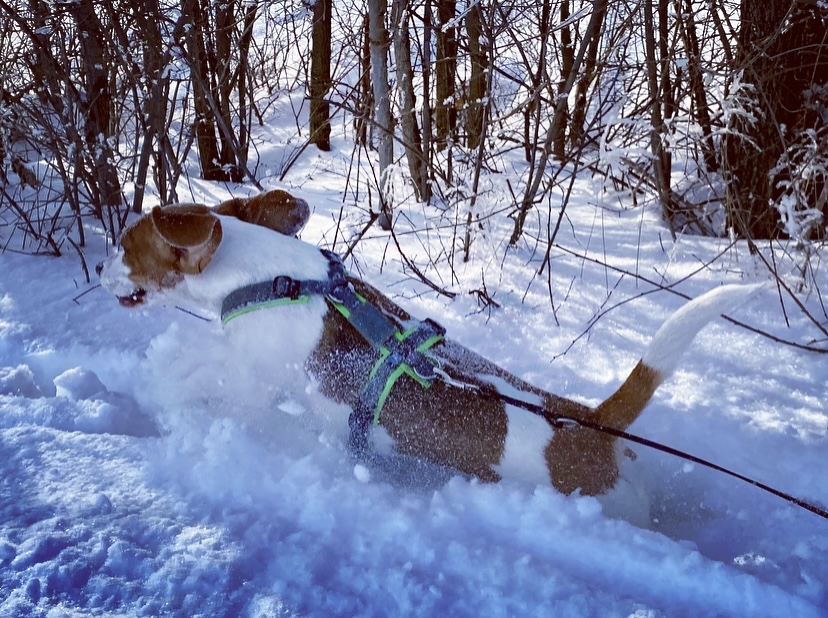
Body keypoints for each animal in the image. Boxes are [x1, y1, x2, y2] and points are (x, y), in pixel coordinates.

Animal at [98, 188, 764, 510]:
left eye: (127, 246)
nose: (100, 268)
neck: (269, 276)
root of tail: (589, 420)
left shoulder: (251, 377)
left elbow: (200, 381)